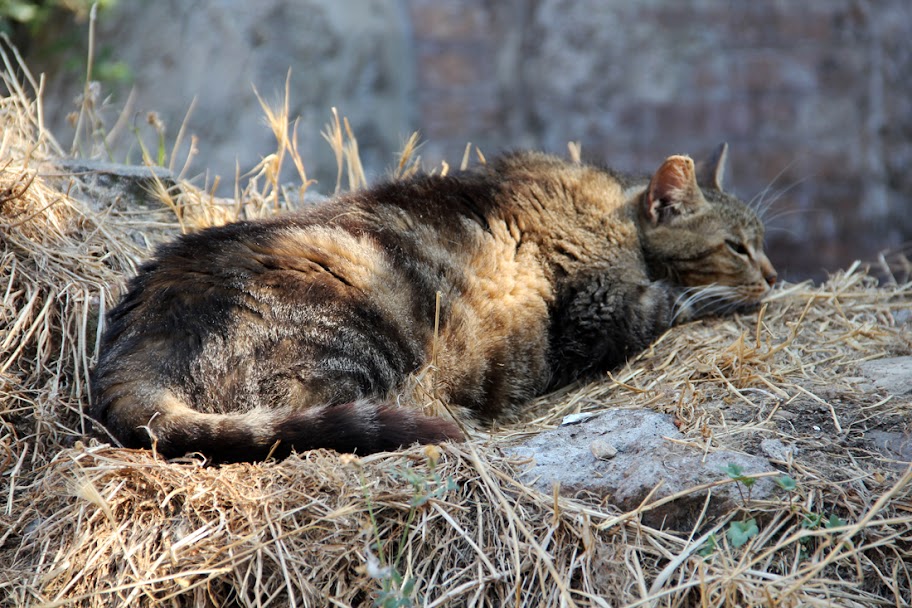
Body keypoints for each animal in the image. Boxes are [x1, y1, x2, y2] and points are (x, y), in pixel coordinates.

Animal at [91, 145, 776, 464]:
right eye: (738, 246)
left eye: (761, 241)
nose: (773, 274)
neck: (616, 210)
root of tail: (129, 354)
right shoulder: (603, 310)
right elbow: (672, 300)